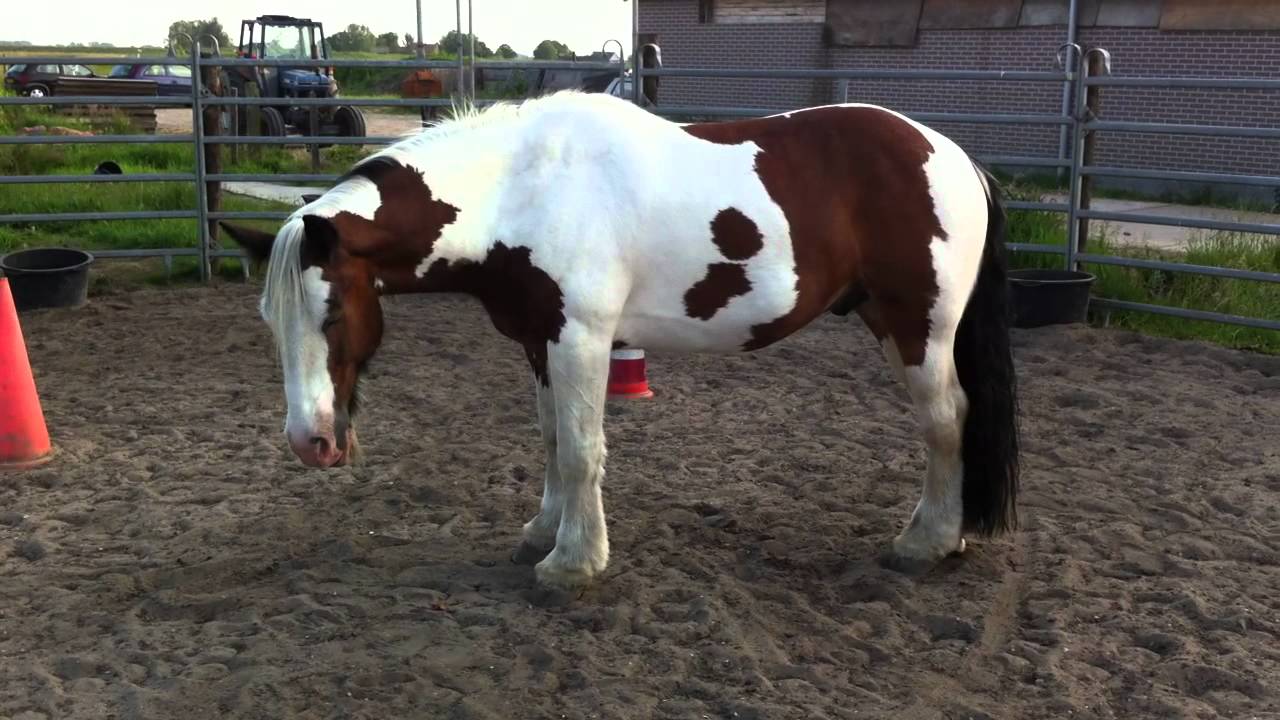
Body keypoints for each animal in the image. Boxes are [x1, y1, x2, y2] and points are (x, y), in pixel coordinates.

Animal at [220, 90, 1020, 593]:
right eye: (269, 322)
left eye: (331, 313)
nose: (310, 443)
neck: (522, 190)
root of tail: (953, 156)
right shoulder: (538, 341)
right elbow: (550, 440)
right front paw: (543, 532)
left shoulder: (580, 339)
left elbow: (581, 449)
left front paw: (572, 563)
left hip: (919, 328)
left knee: (946, 421)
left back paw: (925, 543)